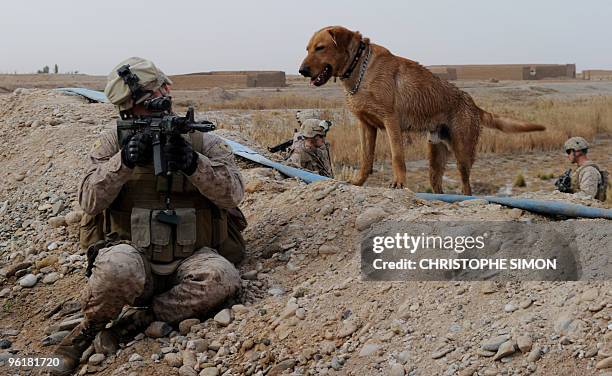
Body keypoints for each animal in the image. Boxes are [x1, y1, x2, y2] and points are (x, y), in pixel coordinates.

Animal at [298, 25, 544, 194]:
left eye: (320, 48)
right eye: (307, 49)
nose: (301, 70)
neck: (360, 68)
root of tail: (472, 103)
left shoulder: (390, 121)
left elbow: (397, 156)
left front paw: (399, 183)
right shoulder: (366, 125)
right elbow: (366, 159)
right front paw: (358, 182)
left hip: (463, 153)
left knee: (467, 185)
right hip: (435, 160)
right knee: (439, 187)